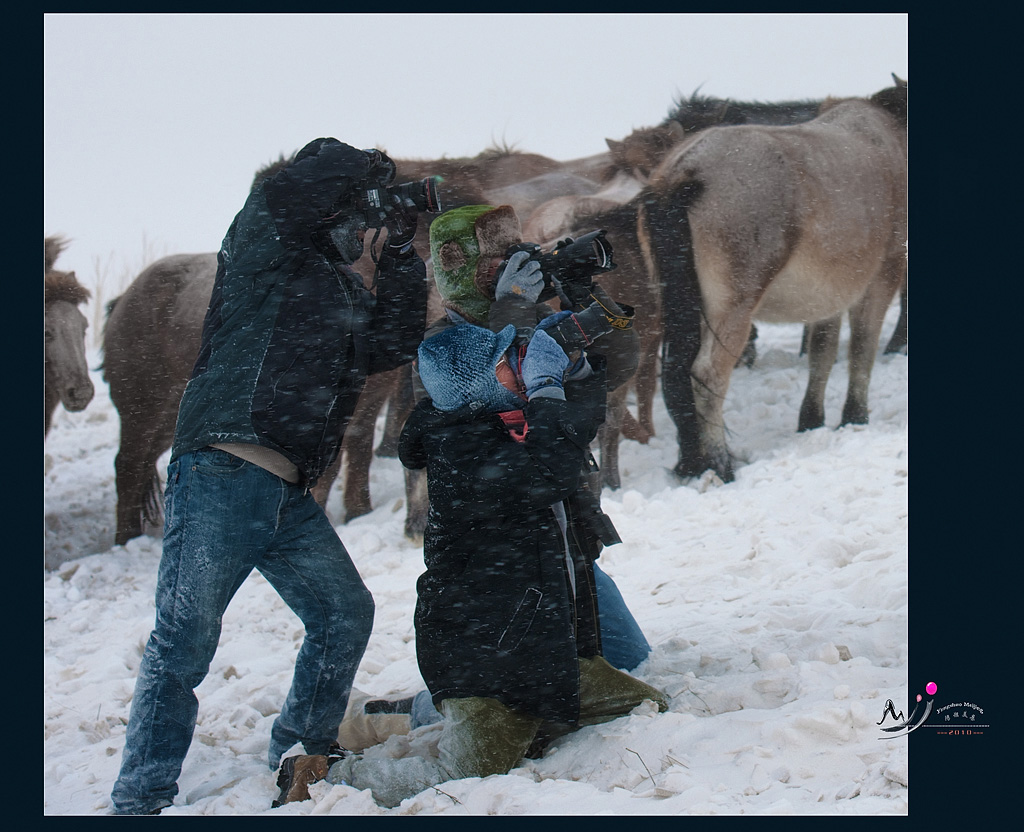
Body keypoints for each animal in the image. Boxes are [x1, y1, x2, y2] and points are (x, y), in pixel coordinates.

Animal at [643, 79, 909, 481]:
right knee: (707, 375)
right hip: (733, 305)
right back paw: (720, 464)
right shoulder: (882, 274)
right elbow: (861, 348)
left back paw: (692, 461)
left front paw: (812, 420)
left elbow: (822, 353)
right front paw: (855, 417)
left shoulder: (829, 291)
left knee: (676, 373)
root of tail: (687, 170)